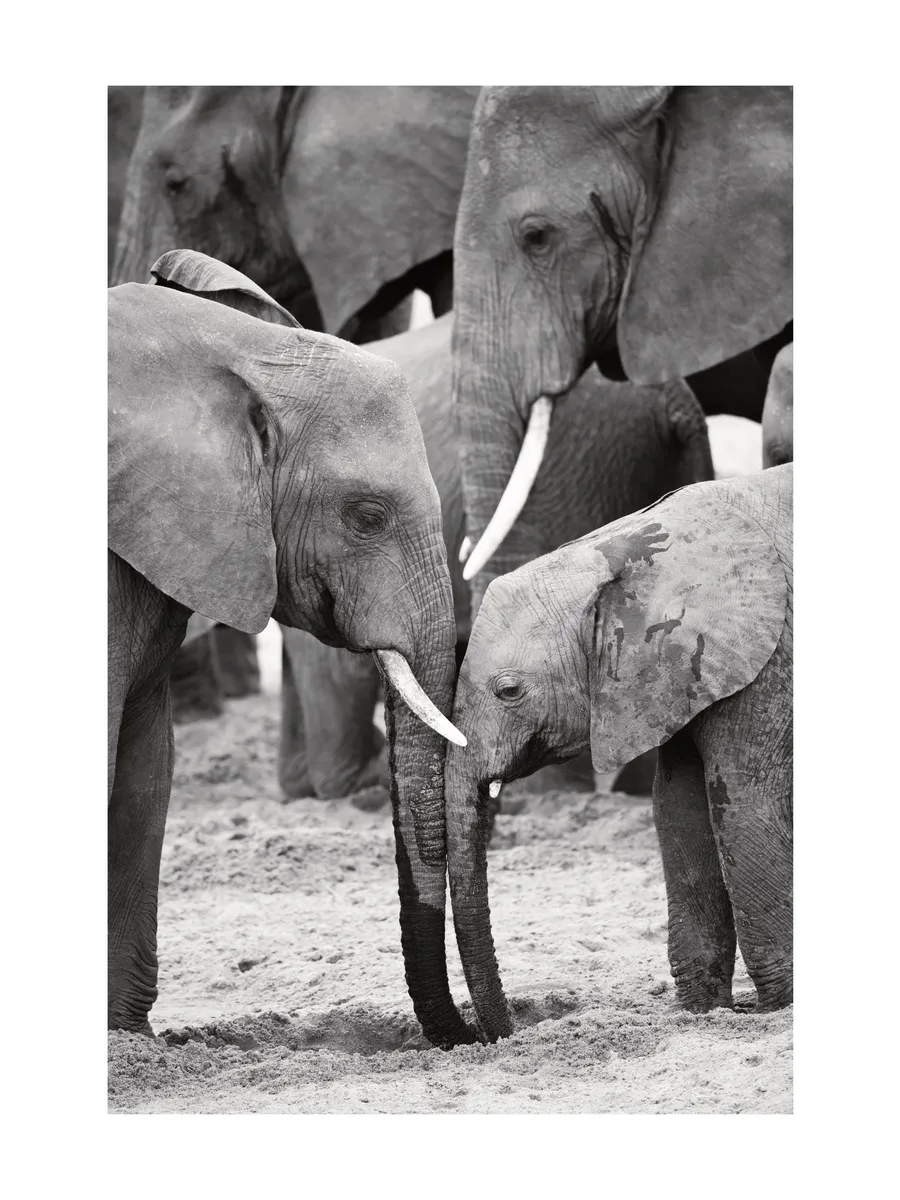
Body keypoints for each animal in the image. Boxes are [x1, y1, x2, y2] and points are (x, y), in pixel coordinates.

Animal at [444, 464, 793, 1042]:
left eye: (509, 691)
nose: (502, 1034)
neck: (619, 548)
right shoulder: (678, 676)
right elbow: (678, 814)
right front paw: (702, 1013)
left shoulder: (769, 663)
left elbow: (747, 812)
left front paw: (783, 1008)